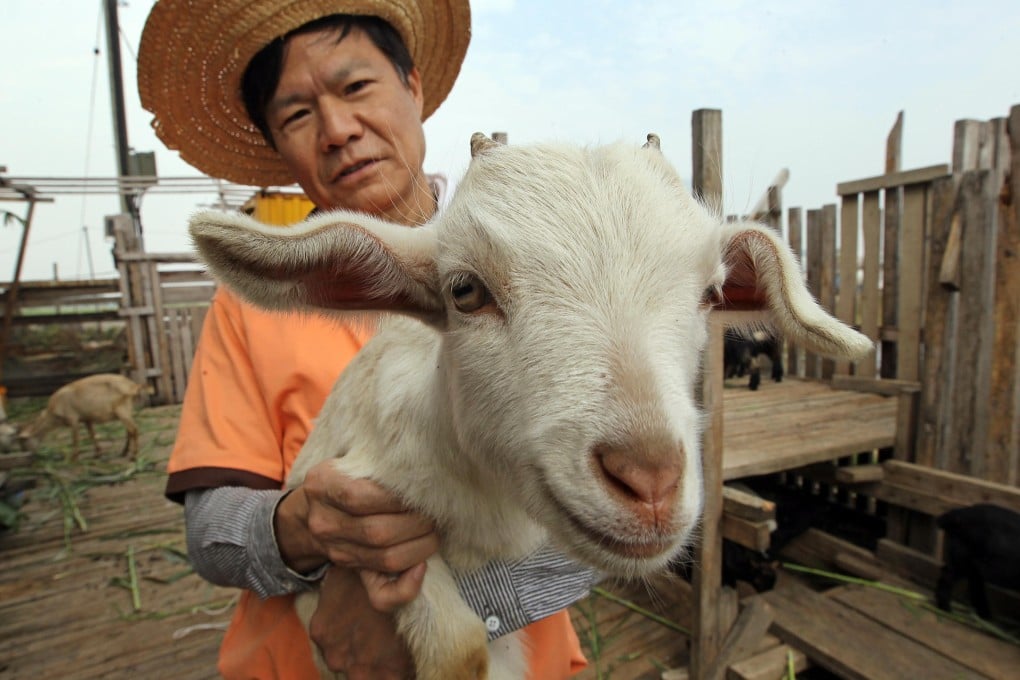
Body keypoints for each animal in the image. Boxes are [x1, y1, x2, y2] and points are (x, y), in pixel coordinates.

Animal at [18, 373, 151, 460]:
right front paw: (97, 453)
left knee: (134, 430)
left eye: (23, 442)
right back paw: (124, 452)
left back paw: (133, 455)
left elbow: (75, 439)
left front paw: (73, 458)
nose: (28, 456)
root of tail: (132, 385)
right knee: (129, 431)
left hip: (122, 410)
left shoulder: (73, 419)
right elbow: (92, 435)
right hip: (126, 410)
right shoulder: (87, 418)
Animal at [189, 133, 872, 680]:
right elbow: (459, 647)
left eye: (711, 293)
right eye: (465, 291)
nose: (648, 480)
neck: (481, 500)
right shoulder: (346, 510)